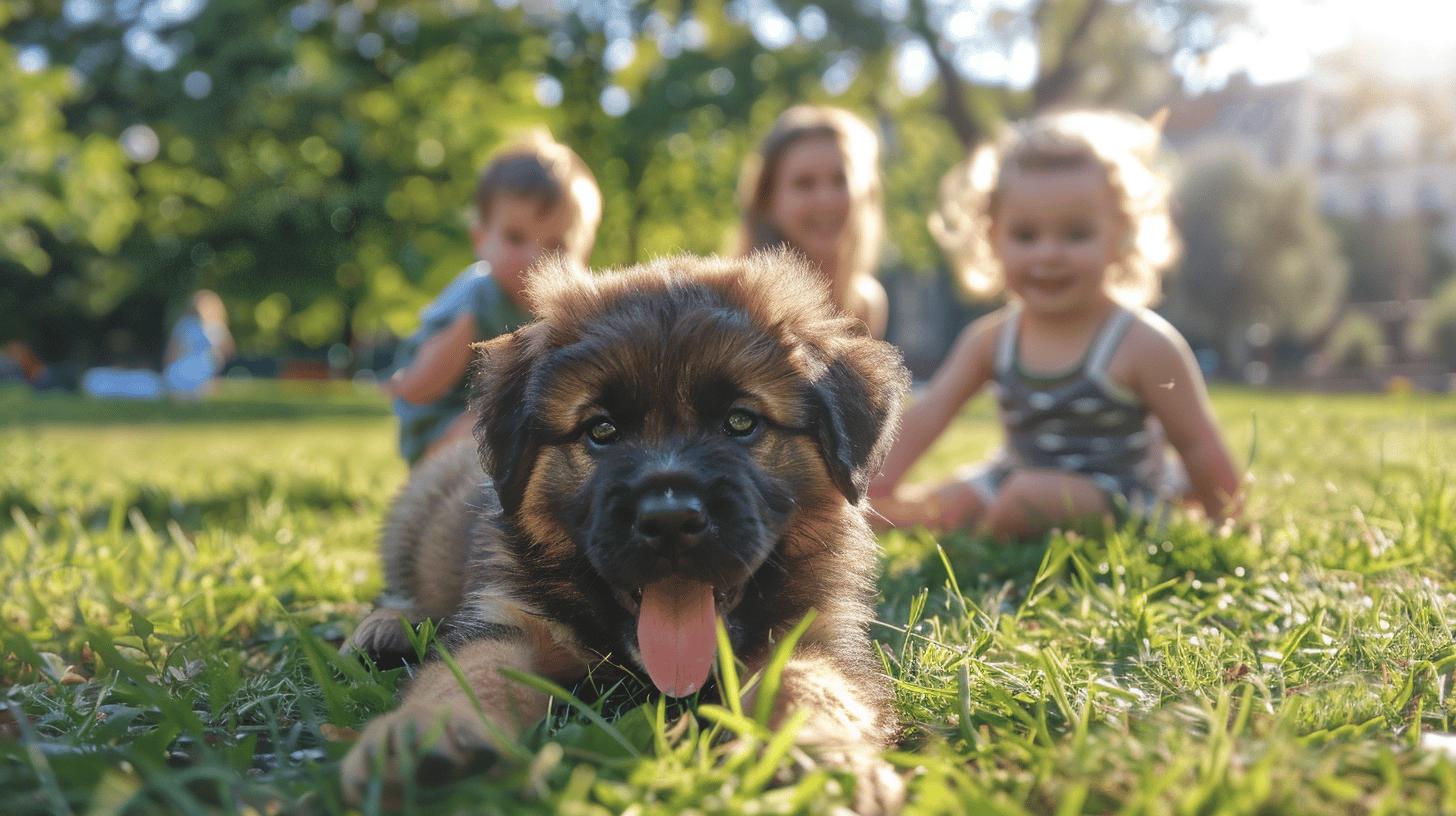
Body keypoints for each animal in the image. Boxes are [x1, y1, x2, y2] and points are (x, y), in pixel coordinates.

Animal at [342, 252, 908, 810]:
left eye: (741, 422)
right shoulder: (510, 619)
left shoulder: (813, 634)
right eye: (602, 431)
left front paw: (825, 763)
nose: (670, 520)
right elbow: (469, 674)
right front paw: (429, 736)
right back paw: (388, 629)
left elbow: (810, 684)